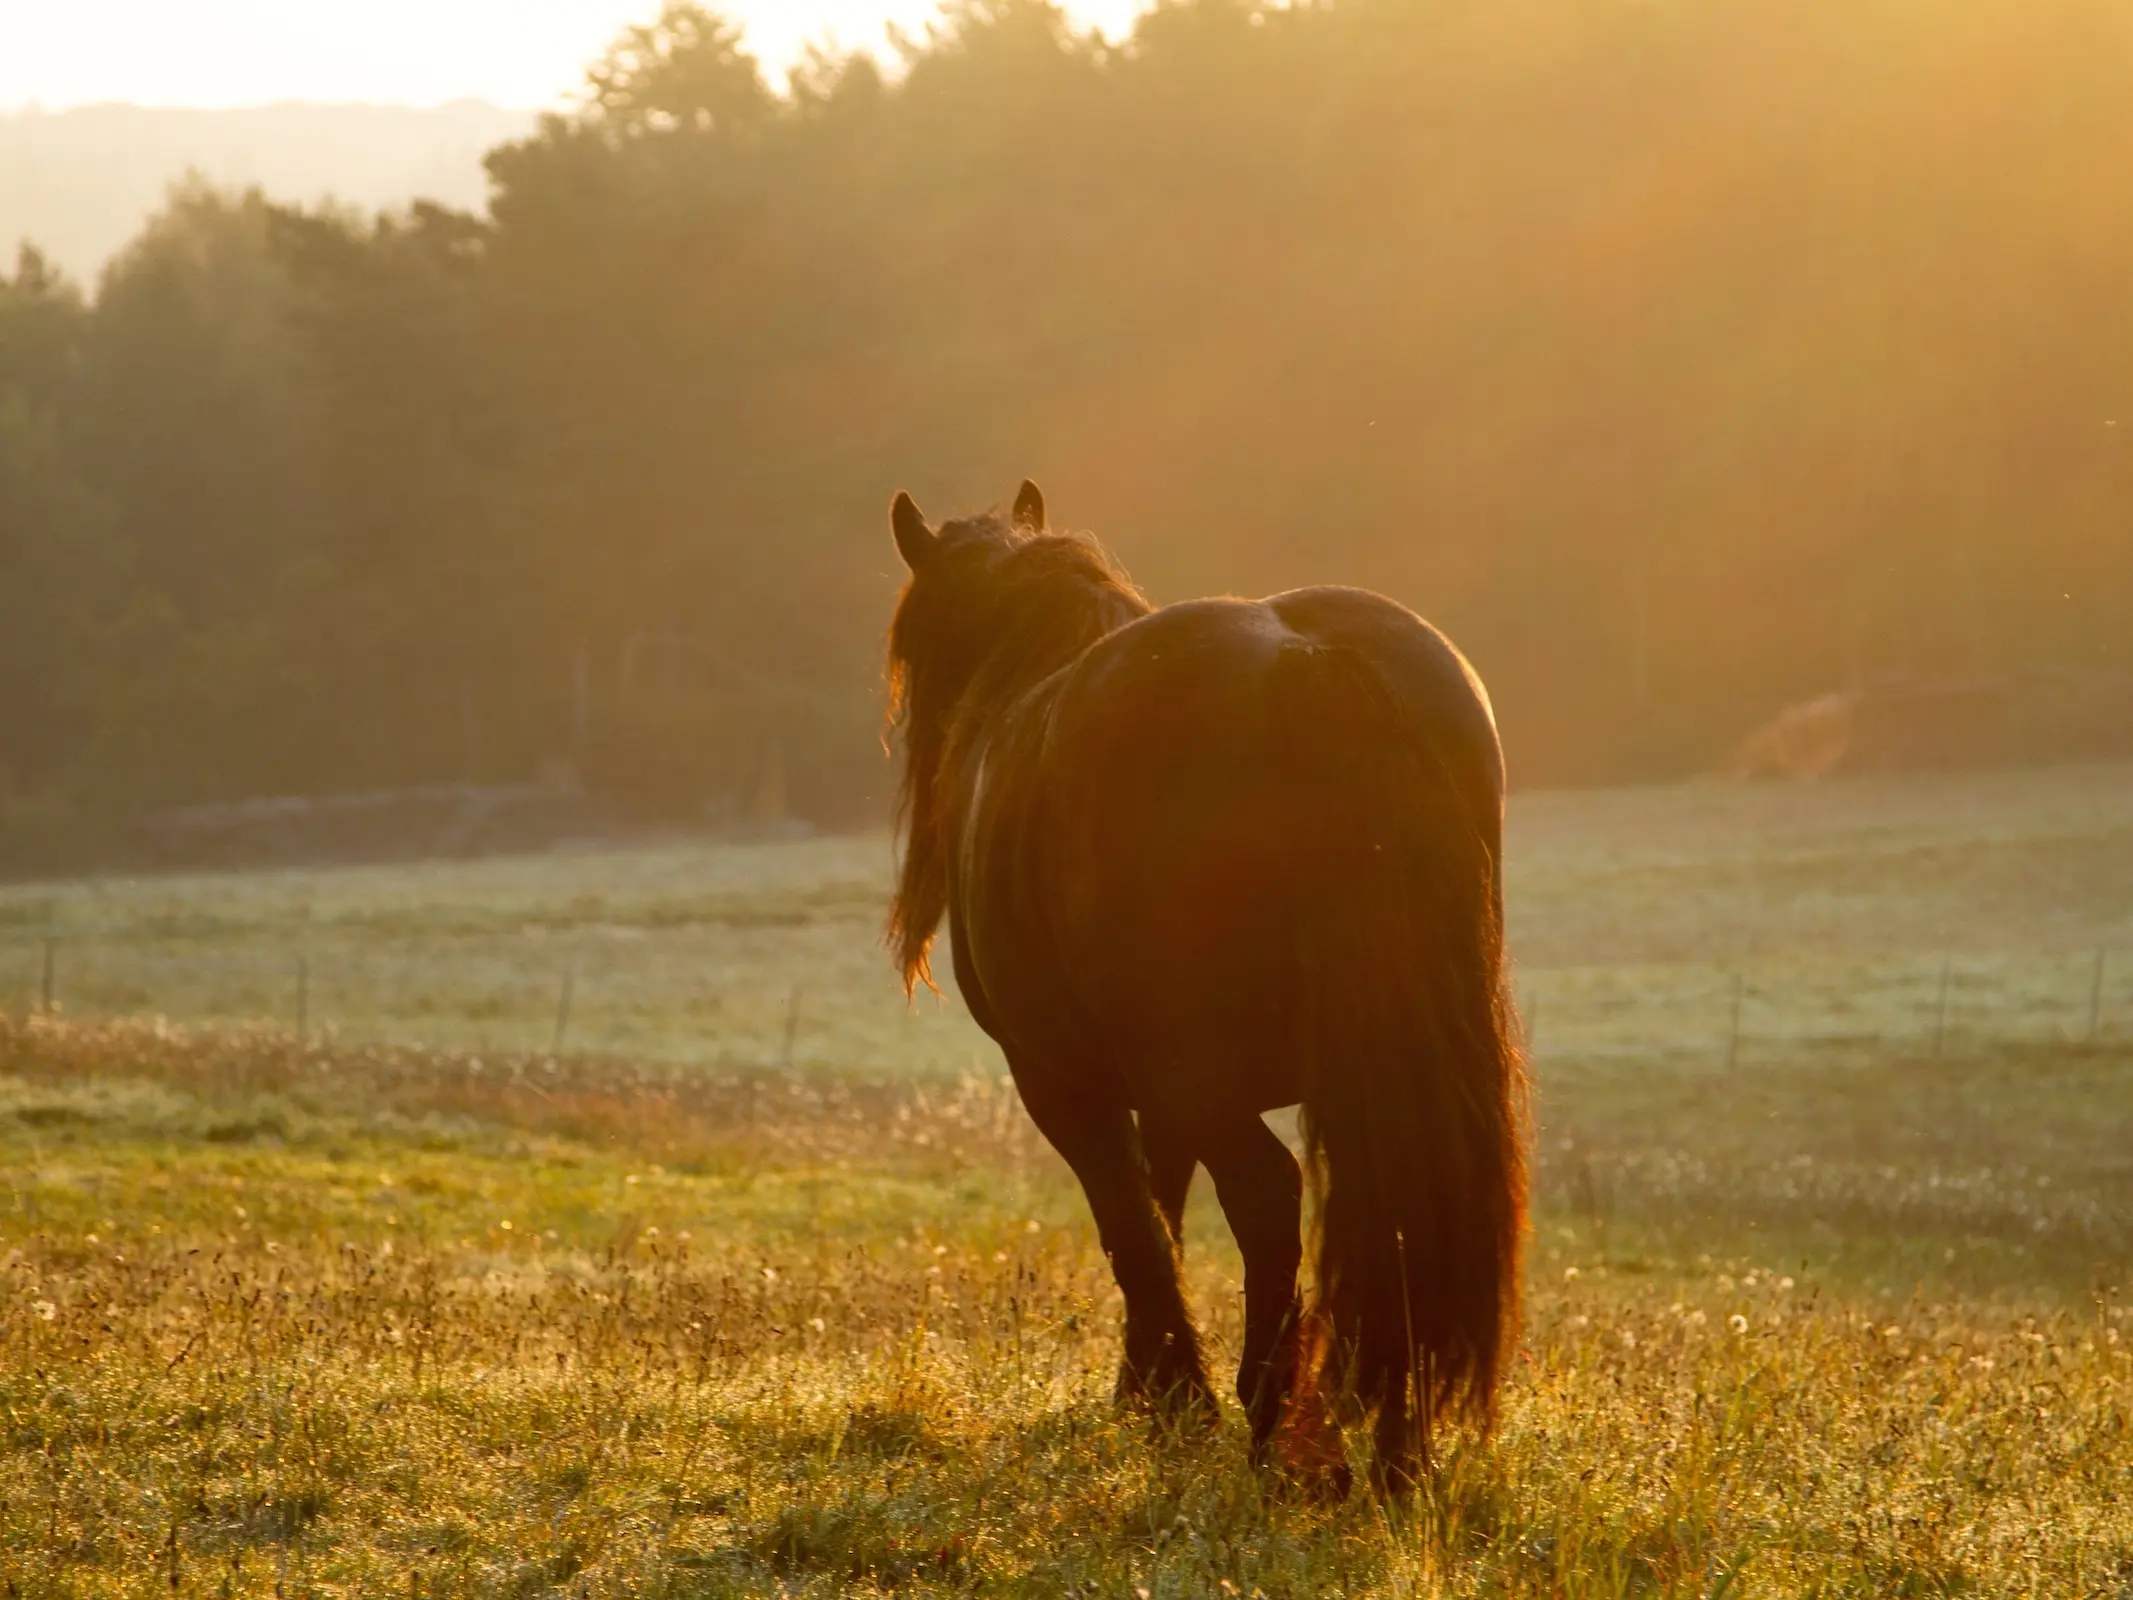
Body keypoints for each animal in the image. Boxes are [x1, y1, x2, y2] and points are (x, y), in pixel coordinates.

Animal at [883, 482, 1535, 1501]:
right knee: (1401, 1211)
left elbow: (1131, 1222)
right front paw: (1145, 1385)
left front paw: (1171, 1395)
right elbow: (1164, 1203)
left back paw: (1278, 1427)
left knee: (1265, 1197)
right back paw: (1400, 1454)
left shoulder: (1061, 1081)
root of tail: (1308, 658)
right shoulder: (1159, 1092)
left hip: (1194, 1075)